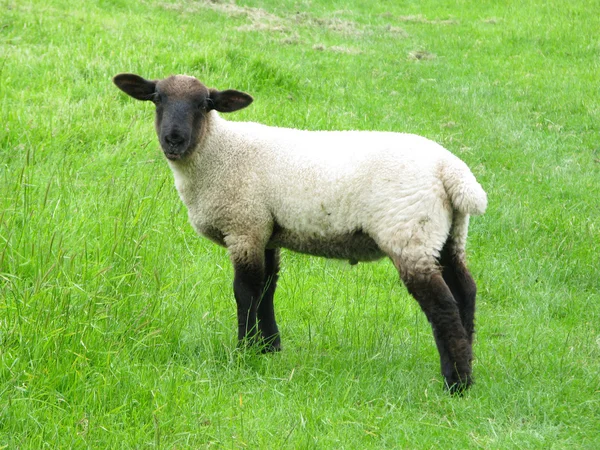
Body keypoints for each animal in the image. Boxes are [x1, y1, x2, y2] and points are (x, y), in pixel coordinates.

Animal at [113, 74, 488, 394]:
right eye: (157, 98)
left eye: (205, 103)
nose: (173, 139)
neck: (219, 152)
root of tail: (451, 171)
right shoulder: (265, 230)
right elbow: (267, 287)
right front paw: (268, 347)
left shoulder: (244, 226)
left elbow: (245, 291)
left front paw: (244, 350)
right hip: (448, 235)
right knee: (465, 291)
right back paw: (468, 363)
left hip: (409, 232)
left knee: (442, 305)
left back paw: (456, 383)